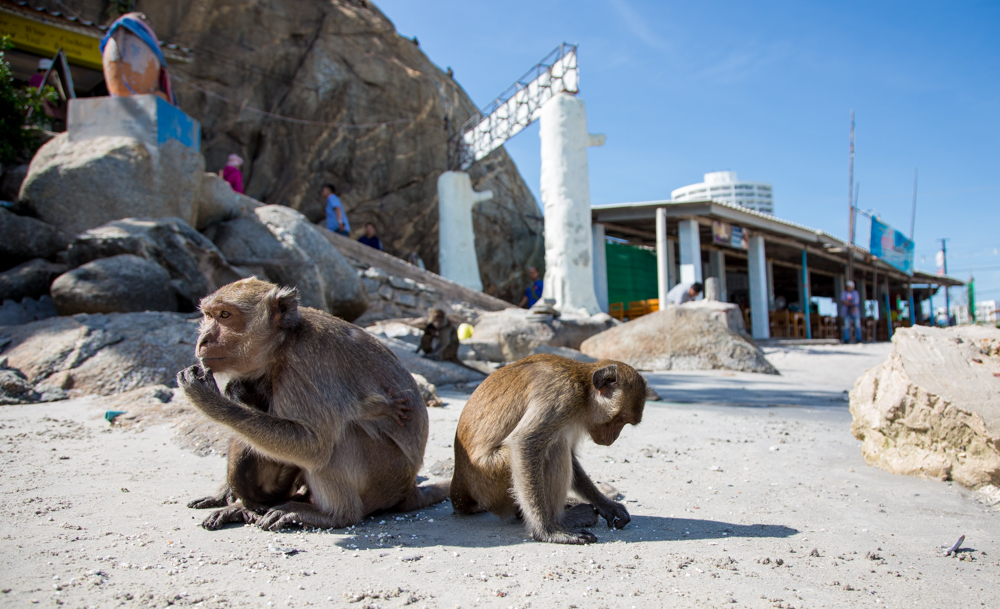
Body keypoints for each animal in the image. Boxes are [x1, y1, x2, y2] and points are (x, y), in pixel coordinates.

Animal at [178, 277, 448, 531]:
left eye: (225, 315)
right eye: (208, 315)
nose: (203, 340)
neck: (283, 342)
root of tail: (408, 488)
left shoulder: (304, 366)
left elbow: (314, 446)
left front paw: (210, 402)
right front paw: (223, 494)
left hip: (385, 475)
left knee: (340, 438)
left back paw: (335, 515)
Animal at [449, 353, 646, 544]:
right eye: (620, 420)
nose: (613, 438)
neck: (583, 388)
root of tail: (459, 483)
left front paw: (606, 505)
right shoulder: (562, 395)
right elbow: (525, 443)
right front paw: (546, 532)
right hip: (490, 480)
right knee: (554, 447)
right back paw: (561, 519)